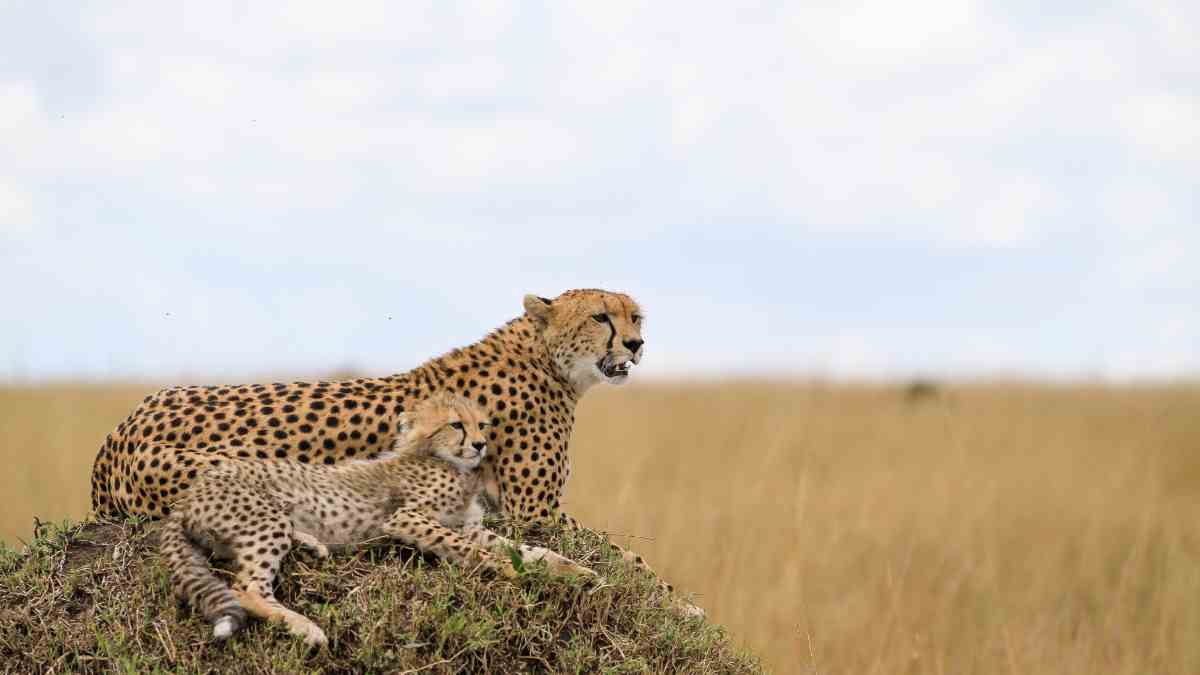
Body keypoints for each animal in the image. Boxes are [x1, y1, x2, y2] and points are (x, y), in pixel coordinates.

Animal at [161, 392, 597, 646]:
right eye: (456, 424)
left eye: (482, 424)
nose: (480, 444)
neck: (446, 462)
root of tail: (189, 496)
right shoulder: (408, 518)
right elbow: (477, 553)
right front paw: (510, 573)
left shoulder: (471, 527)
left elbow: (528, 550)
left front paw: (576, 571)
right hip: (263, 521)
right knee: (246, 588)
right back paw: (306, 628)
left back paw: (312, 545)